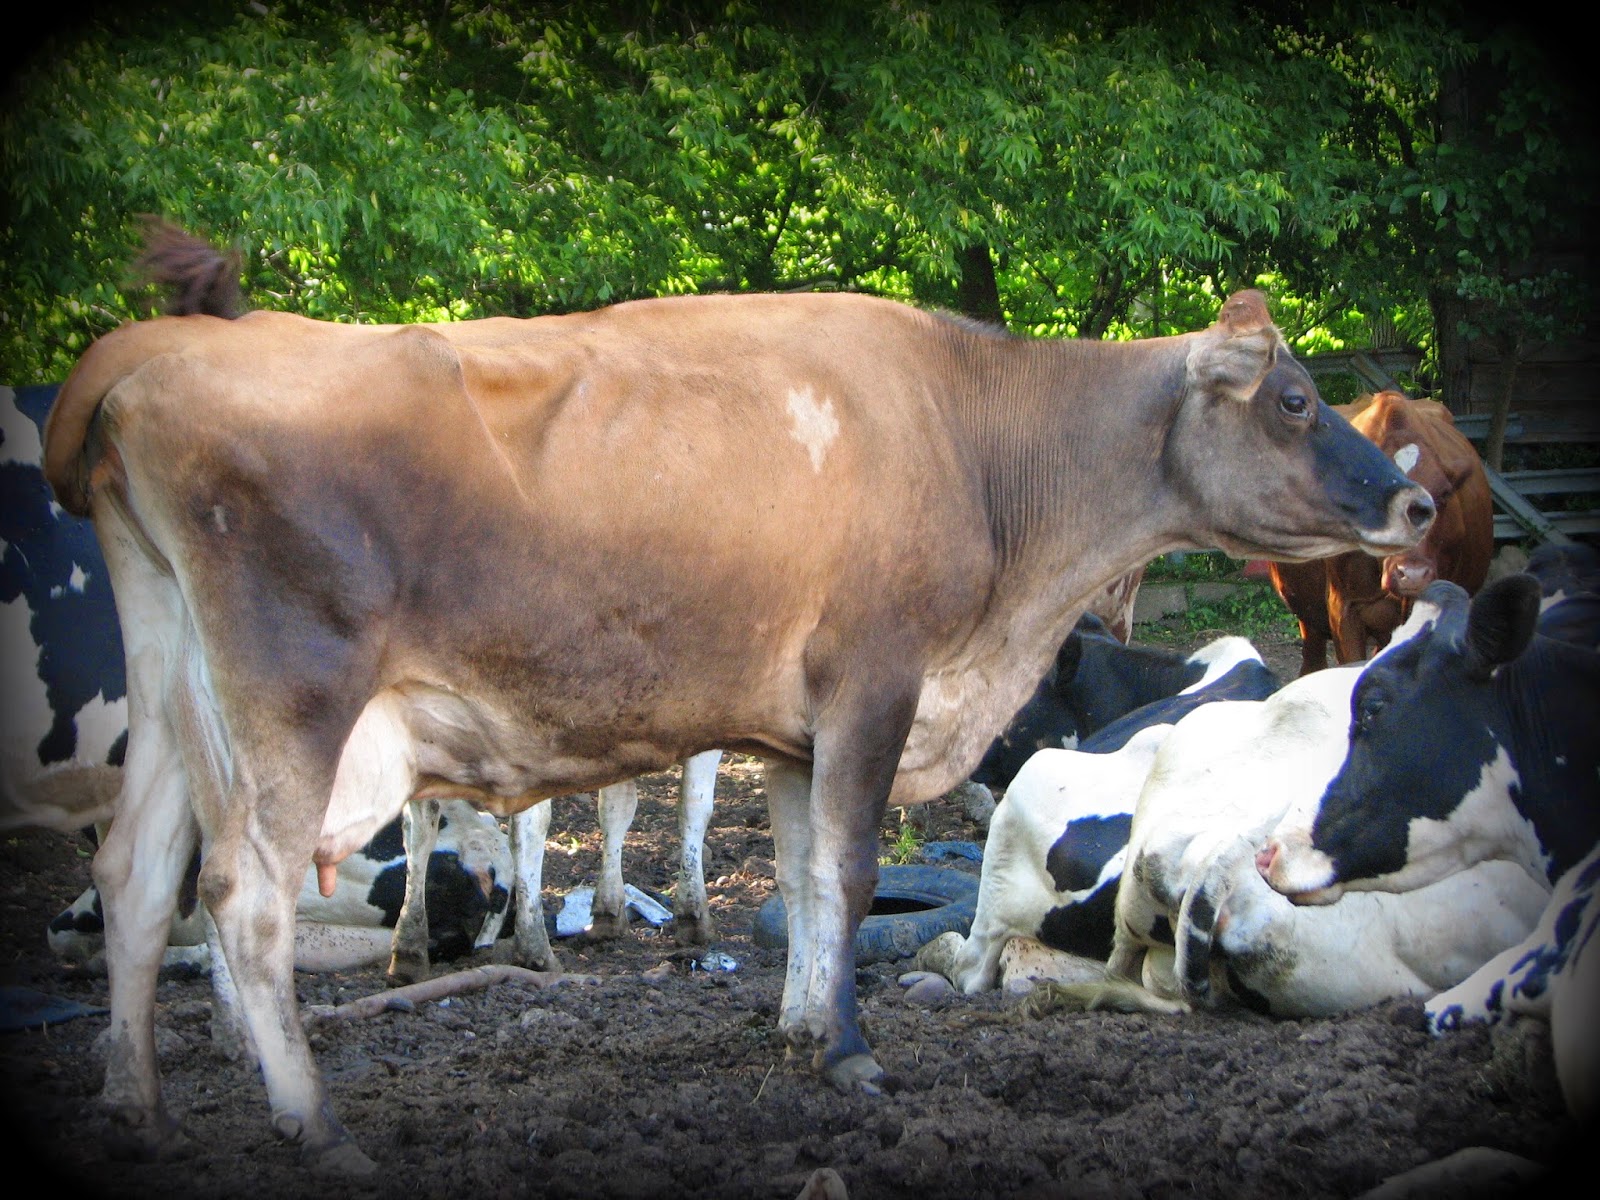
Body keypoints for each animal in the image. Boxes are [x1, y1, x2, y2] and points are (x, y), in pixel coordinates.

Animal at [43, 222, 1432, 1172]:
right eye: (1295, 400)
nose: (1415, 502)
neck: (978, 441)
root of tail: (174, 342)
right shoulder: (876, 680)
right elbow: (855, 873)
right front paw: (854, 1052)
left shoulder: (798, 727)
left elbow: (810, 877)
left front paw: (802, 1029)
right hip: (294, 695)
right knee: (242, 896)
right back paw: (312, 1118)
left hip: (171, 684)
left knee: (135, 873)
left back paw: (132, 1100)